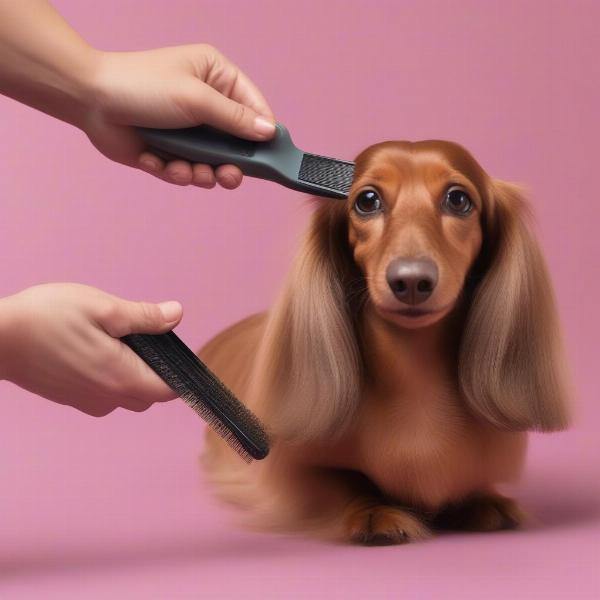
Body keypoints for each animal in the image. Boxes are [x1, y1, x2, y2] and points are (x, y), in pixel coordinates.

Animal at [199, 139, 568, 544]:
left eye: (458, 199)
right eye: (367, 200)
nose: (411, 281)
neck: (416, 377)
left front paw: (485, 501)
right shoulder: (286, 473)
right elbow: (342, 483)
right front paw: (374, 512)